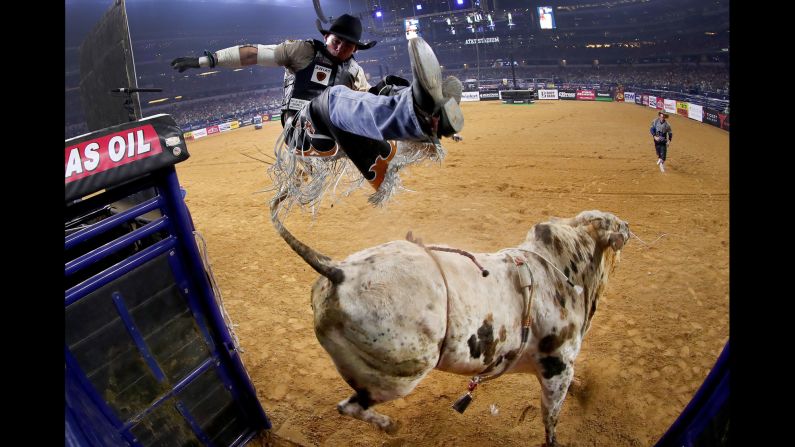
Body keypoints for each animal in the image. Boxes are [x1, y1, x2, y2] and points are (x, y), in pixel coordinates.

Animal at [274, 210, 628, 447]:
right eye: (611, 222)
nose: (627, 225)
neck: (558, 270)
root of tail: (340, 271)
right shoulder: (557, 367)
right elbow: (551, 416)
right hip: (398, 377)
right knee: (351, 406)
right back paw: (390, 425)